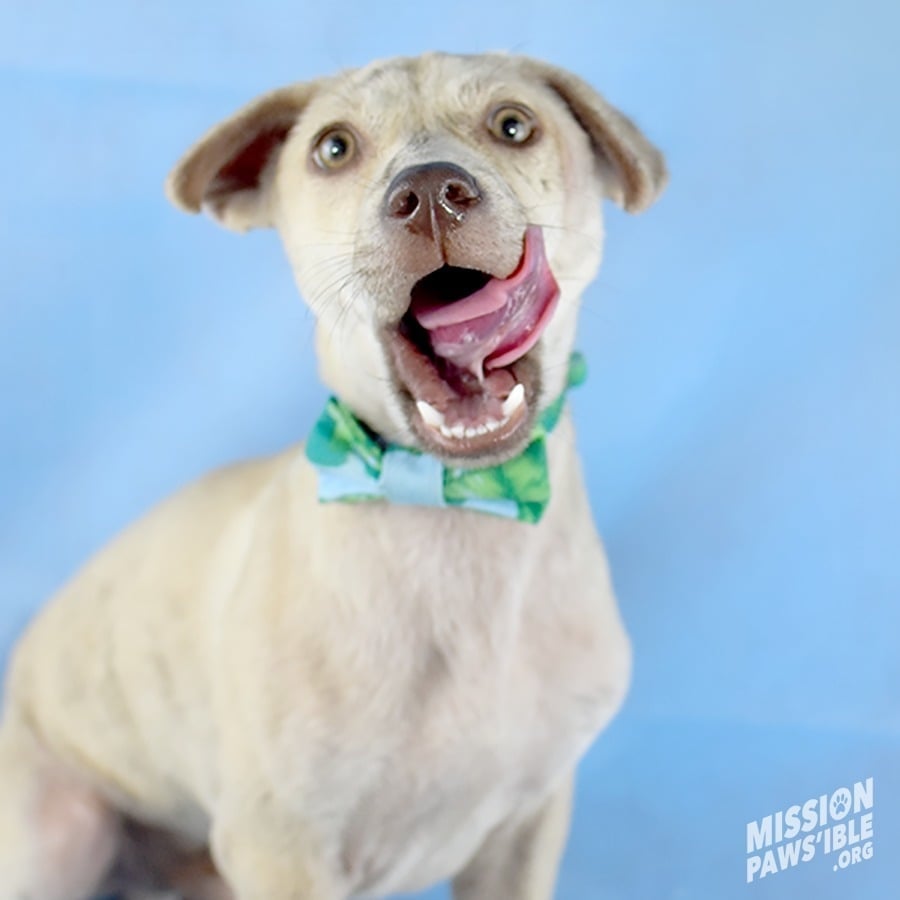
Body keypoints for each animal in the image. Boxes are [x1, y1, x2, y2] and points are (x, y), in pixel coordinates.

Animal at [0, 51, 660, 900]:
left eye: (514, 125)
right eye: (334, 148)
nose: (430, 193)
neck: (457, 511)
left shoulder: (527, 825)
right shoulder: (281, 848)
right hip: (60, 832)